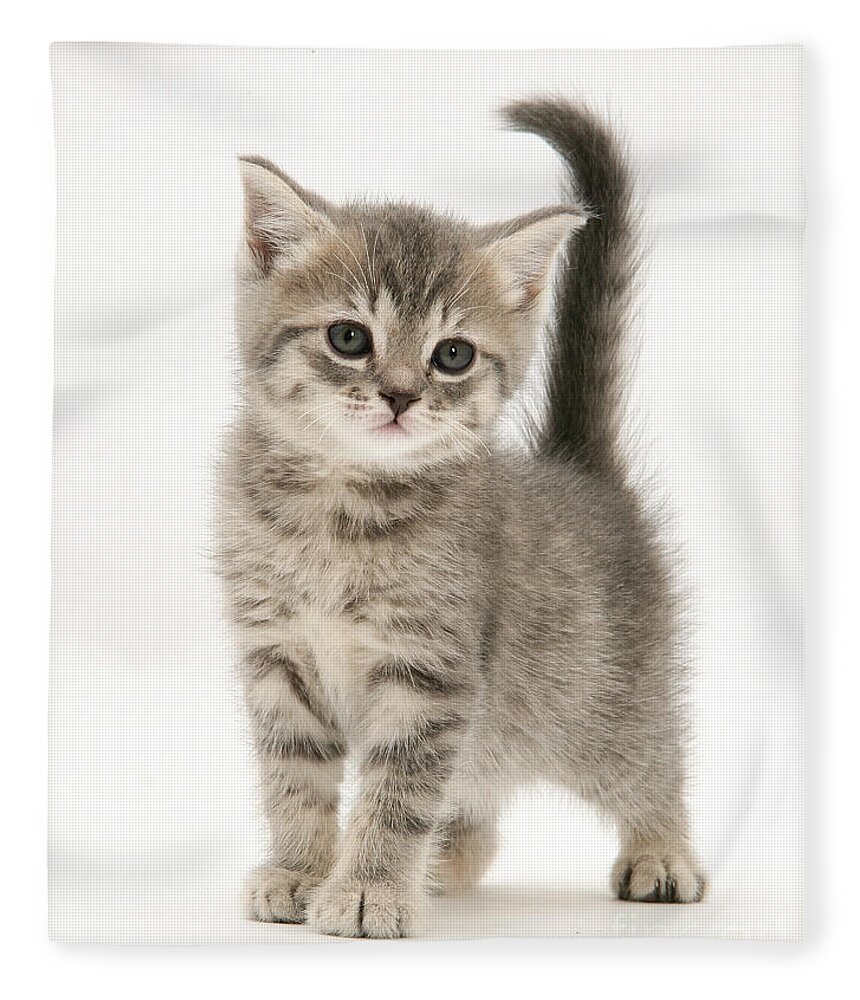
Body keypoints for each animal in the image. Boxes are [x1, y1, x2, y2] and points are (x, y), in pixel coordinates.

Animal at [215, 99, 704, 936]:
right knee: (477, 804)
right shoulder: (277, 658)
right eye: (350, 337)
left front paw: (368, 889)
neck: (339, 512)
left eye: (452, 355)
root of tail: (582, 469)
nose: (401, 395)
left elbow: (396, 791)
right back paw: (444, 860)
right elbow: (295, 779)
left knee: (652, 760)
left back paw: (662, 851)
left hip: (601, 700)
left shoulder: (429, 672)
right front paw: (302, 870)